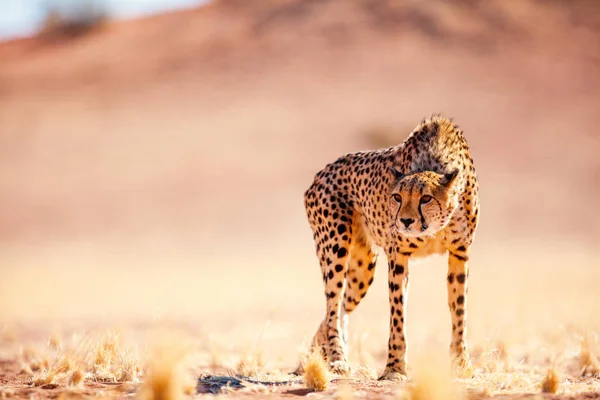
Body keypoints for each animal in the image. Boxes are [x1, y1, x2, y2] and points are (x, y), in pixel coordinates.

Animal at [302, 114, 480, 380]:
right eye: (397, 197)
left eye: (426, 198)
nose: (405, 221)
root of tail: (322, 173)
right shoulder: (398, 257)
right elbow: (398, 315)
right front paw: (395, 368)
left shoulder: (460, 253)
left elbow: (459, 311)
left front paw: (461, 364)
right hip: (335, 249)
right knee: (332, 307)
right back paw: (337, 359)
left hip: (363, 270)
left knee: (338, 309)